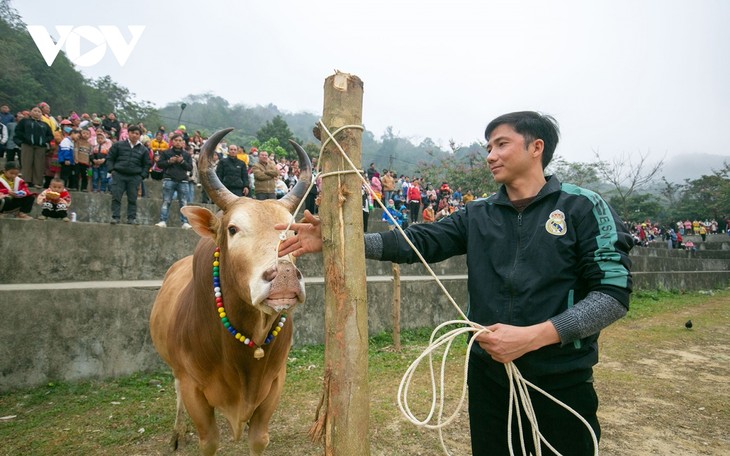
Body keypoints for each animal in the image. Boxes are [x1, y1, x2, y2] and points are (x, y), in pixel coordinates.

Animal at [152, 129, 312, 456]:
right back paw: (177, 433)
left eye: (292, 232)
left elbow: (259, 439)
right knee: (175, 391)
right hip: (175, 370)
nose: (284, 276)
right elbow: (209, 441)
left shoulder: (274, 384)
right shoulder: (193, 387)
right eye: (233, 229)